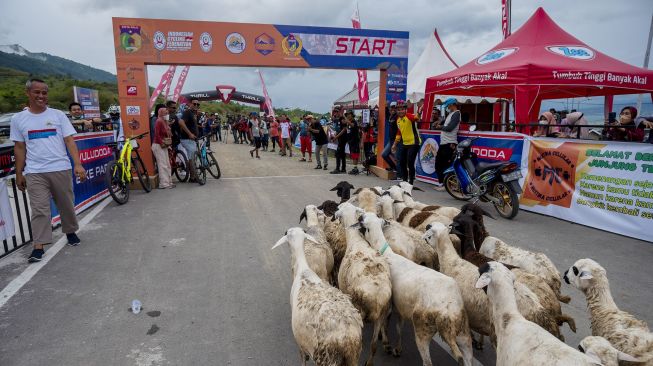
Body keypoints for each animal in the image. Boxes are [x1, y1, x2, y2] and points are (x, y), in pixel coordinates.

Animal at [270, 227, 362, 364]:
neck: (303, 270)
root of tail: (348, 338)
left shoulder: (300, 345)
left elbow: (303, 360)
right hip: (353, 358)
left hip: (326, 357)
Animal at [334, 203, 390, 366]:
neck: (356, 241)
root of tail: (377, 296)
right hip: (382, 313)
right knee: (374, 345)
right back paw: (370, 362)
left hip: (359, 310)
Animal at [360, 212, 472, 366]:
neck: (387, 254)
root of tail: (450, 310)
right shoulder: (401, 306)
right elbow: (399, 327)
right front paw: (397, 348)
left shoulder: (389, 305)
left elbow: (384, 325)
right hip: (463, 333)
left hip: (422, 328)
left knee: (427, 362)